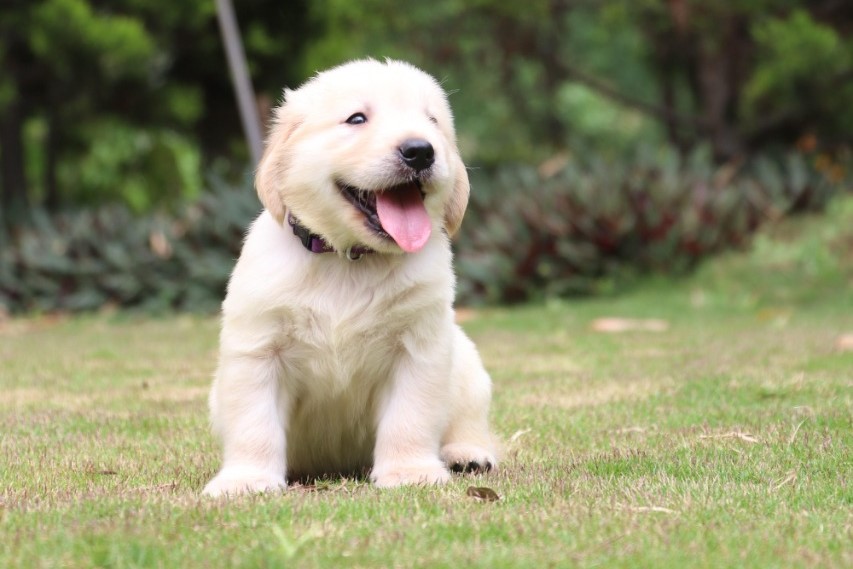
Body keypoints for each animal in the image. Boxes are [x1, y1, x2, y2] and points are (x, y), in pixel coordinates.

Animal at [203, 55, 496, 494]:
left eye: (432, 121)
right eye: (357, 118)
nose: (420, 151)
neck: (348, 260)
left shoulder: (419, 349)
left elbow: (410, 417)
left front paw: (409, 471)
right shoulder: (258, 349)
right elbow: (254, 424)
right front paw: (246, 479)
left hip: (467, 367)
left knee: (469, 421)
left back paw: (467, 453)